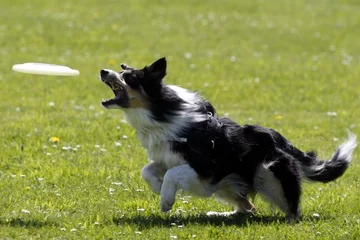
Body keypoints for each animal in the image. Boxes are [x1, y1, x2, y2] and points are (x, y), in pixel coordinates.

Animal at [99, 57, 358, 221]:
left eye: (130, 77)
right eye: (121, 71)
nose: (103, 71)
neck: (161, 112)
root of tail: (280, 139)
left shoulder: (206, 168)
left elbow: (173, 174)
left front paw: (166, 200)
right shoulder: (166, 156)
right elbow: (147, 170)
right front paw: (158, 188)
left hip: (269, 171)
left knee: (291, 209)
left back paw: (290, 220)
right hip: (228, 185)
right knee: (248, 207)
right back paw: (220, 214)